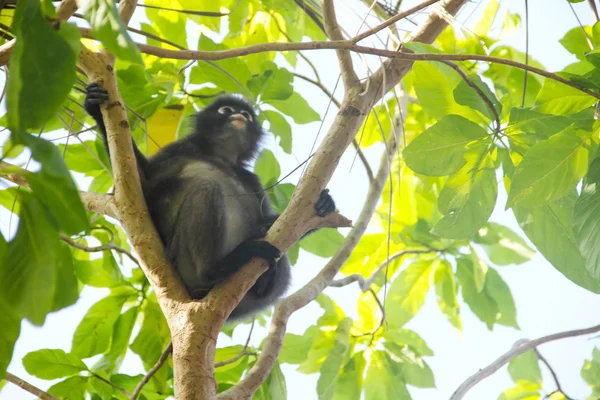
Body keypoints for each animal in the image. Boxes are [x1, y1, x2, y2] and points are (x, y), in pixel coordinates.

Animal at [84, 83, 338, 320]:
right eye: (226, 110)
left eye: (246, 115)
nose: (239, 116)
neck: (219, 156)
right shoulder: (180, 148)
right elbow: (142, 188)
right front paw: (95, 107)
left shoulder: (250, 178)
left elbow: (278, 223)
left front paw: (323, 205)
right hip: (182, 262)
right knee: (206, 189)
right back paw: (218, 268)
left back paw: (264, 280)